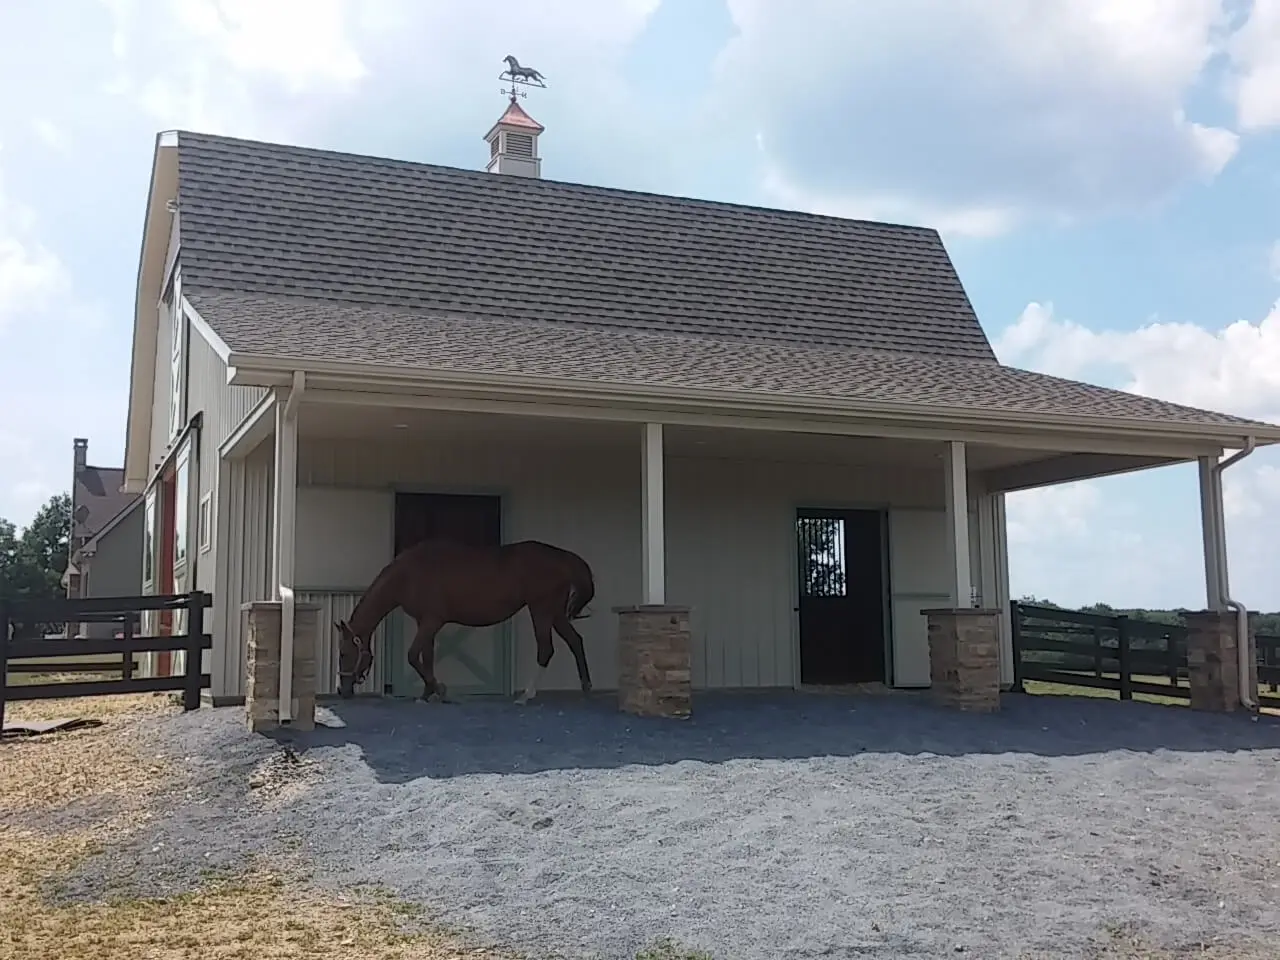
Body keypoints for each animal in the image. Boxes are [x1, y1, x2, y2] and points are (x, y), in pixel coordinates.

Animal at [340, 542, 599, 706]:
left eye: (343, 654)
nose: (342, 691)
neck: (409, 574)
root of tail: (562, 557)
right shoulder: (426, 623)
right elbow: (427, 657)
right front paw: (427, 695)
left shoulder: (431, 621)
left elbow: (413, 656)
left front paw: (441, 691)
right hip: (555, 613)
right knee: (575, 641)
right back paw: (586, 689)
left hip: (541, 611)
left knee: (546, 649)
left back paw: (525, 696)